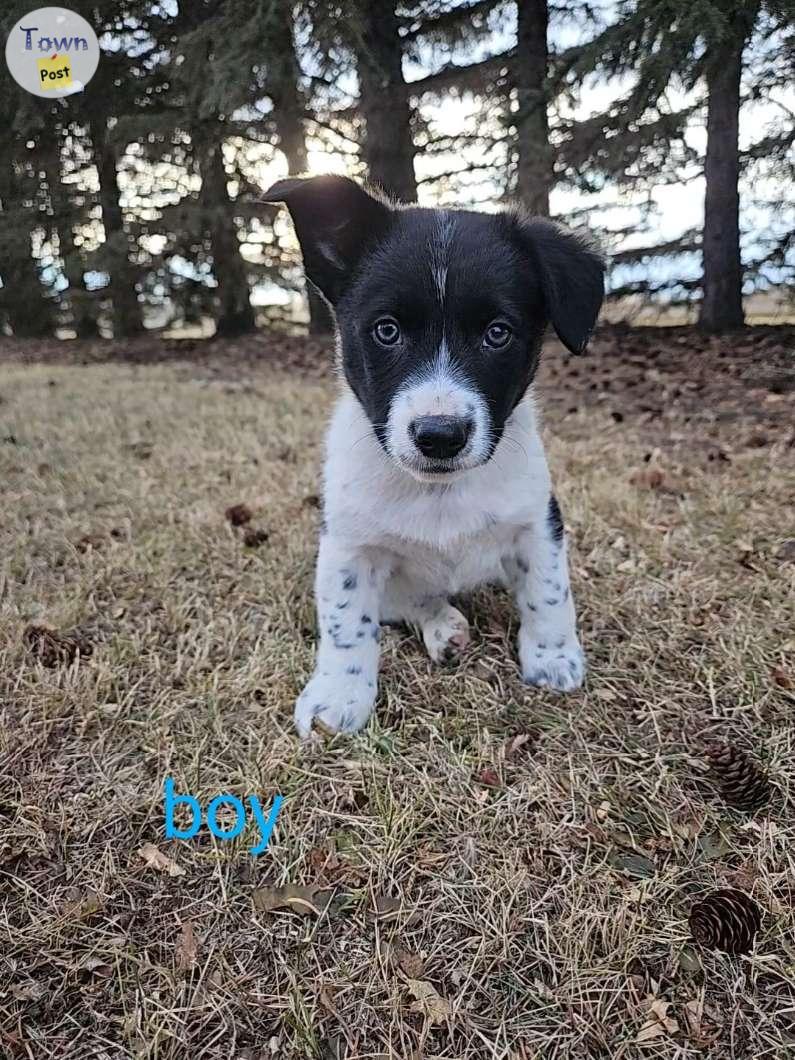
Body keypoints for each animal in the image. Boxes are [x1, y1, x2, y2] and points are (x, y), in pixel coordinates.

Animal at [265, 175, 606, 737]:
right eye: (386, 329)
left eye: (497, 332)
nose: (440, 436)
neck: (439, 492)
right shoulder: (348, 546)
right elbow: (346, 622)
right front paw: (339, 694)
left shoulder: (538, 520)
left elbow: (549, 591)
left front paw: (553, 657)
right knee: (411, 601)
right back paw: (444, 626)